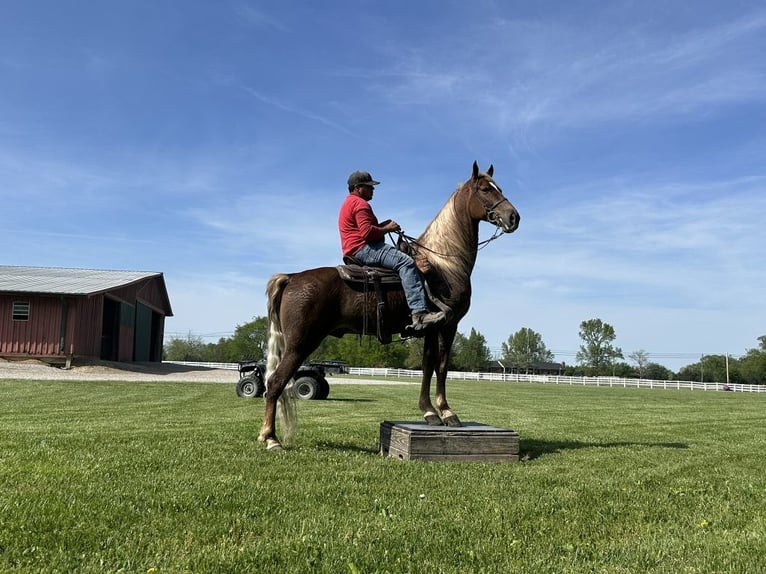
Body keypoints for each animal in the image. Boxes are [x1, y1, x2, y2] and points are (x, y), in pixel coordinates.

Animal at [260, 161, 520, 450]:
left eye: (499, 188)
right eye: (486, 189)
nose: (513, 217)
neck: (445, 263)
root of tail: (292, 277)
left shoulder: (431, 329)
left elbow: (427, 366)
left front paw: (429, 412)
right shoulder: (449, 325)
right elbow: (441, 367)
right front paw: (447, 413)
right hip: (300, 343)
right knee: (275, 382)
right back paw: (271, 439)